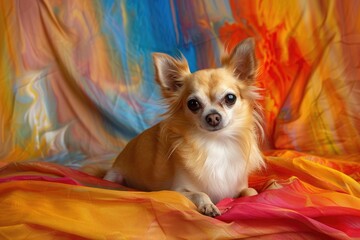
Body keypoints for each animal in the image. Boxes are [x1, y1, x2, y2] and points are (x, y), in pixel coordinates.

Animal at [103, 38, 264, 218]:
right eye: (193, 104)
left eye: (230, 98)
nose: (213, 117)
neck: (217, 143)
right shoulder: (177, 190)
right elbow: (200, 193)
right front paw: (208, 206)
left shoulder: (240, 186)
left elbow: (251, 192)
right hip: (113, 176)